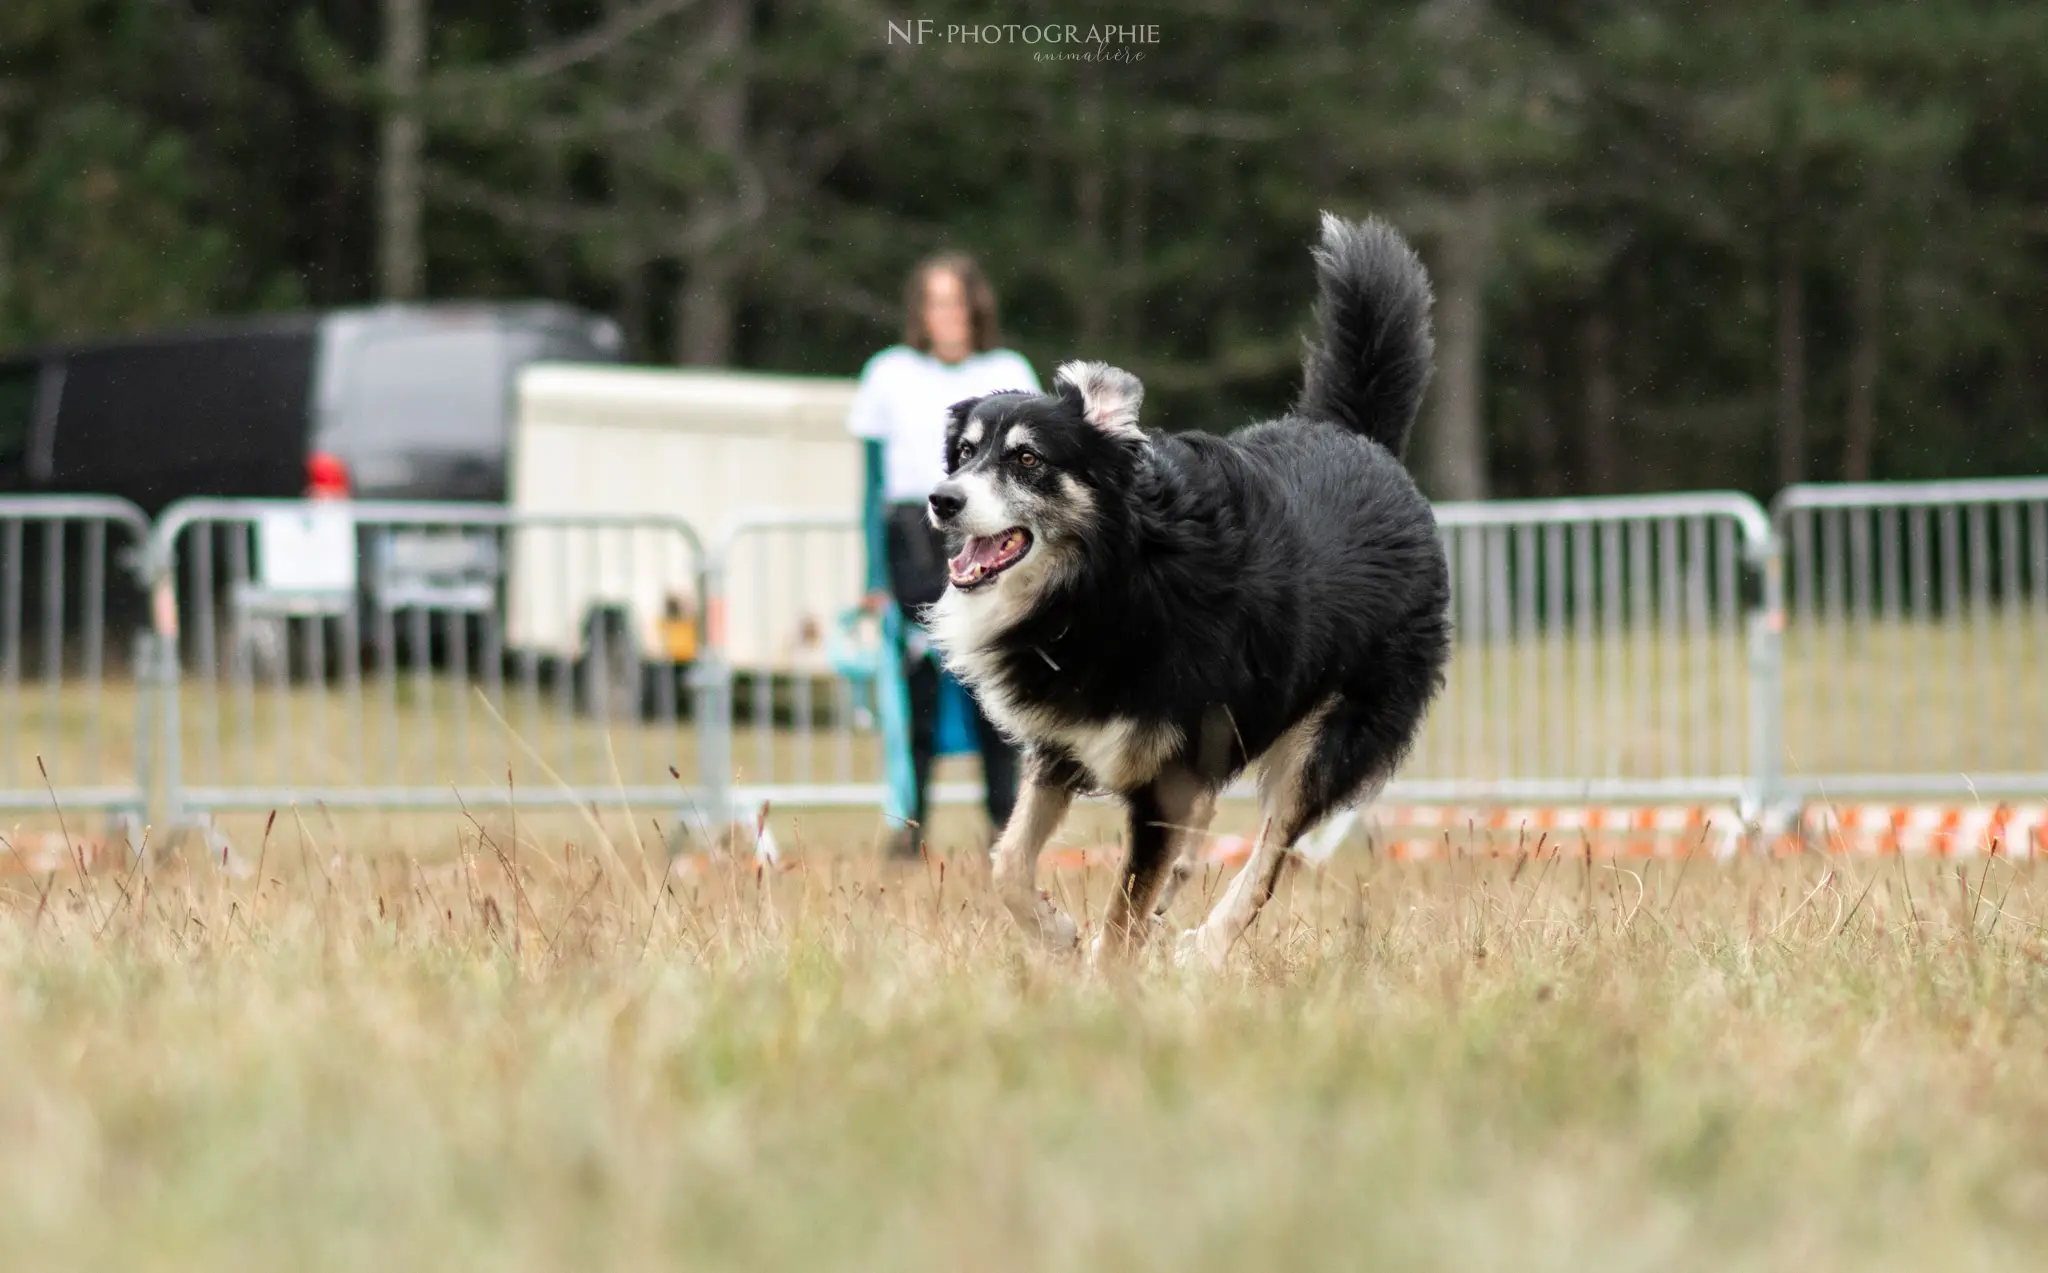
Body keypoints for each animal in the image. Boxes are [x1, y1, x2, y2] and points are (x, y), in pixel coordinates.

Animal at [921, 214, 1449, 974]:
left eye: (1026, 459)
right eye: (963, 454)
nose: (941, 499)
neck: (1112, 577)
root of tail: (1361, 440)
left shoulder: (1164, 772)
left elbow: (1124, 909)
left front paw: (1105, 977)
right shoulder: (1063, 742)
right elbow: (1007, 862)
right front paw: (1056, 932)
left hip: (1333, 736)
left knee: (1270, 855)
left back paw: (1209, 944)